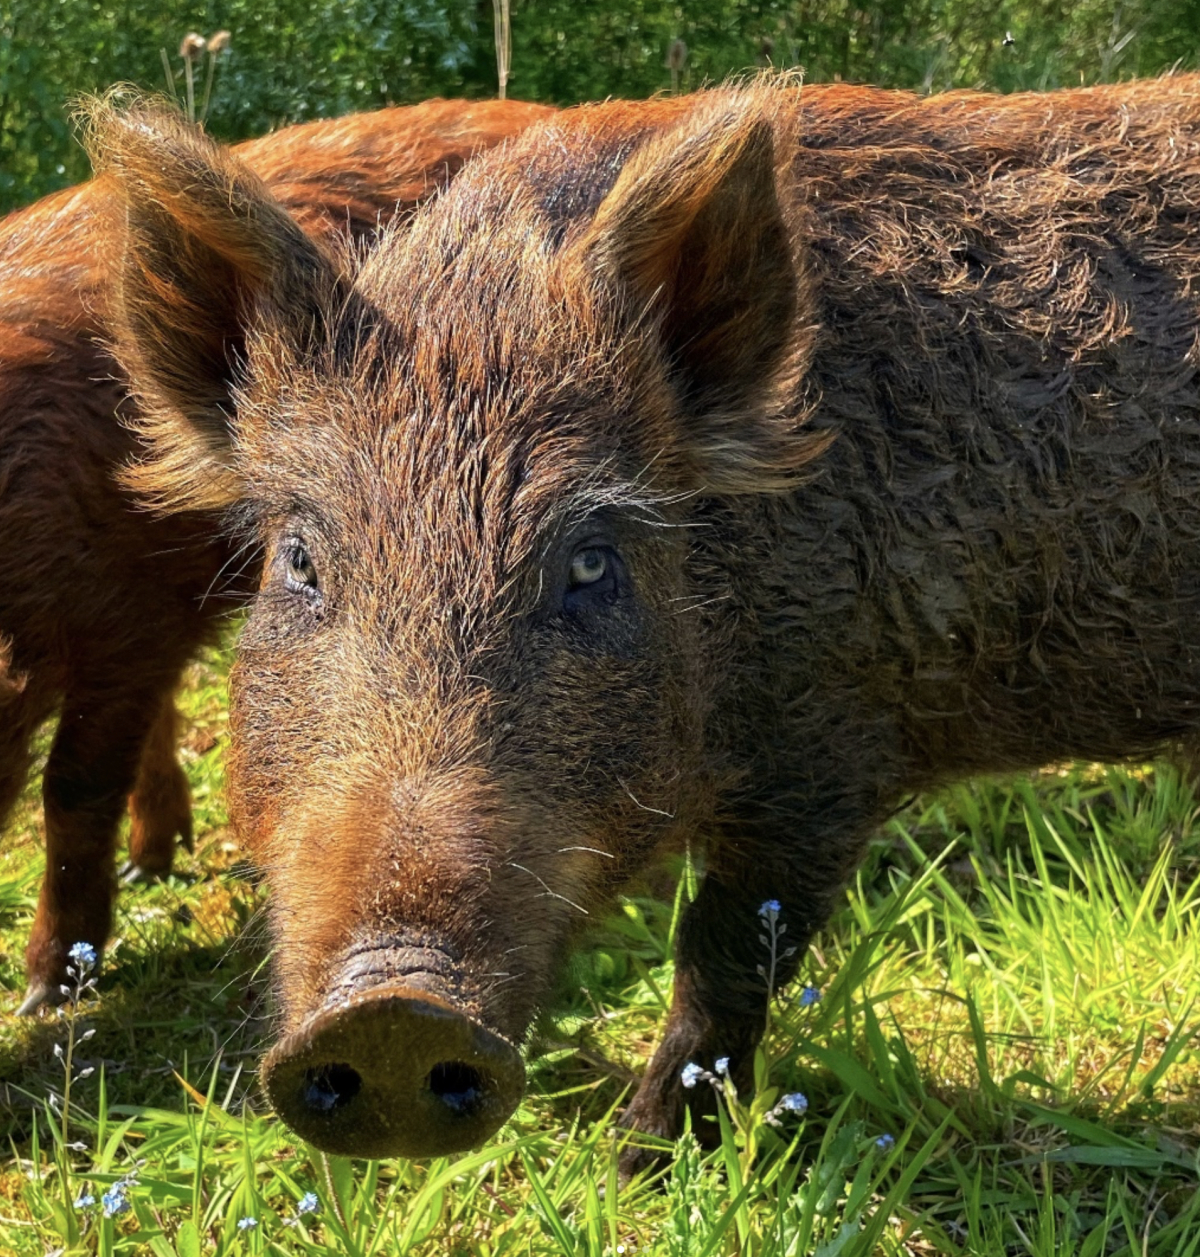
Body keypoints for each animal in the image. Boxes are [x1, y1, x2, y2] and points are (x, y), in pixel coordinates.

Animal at [91, 73, 1200, 1168]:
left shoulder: (831, 755)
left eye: (592, 562)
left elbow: (726, 953)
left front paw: (644, 1160)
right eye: (300, 561)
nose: (395, 1013)